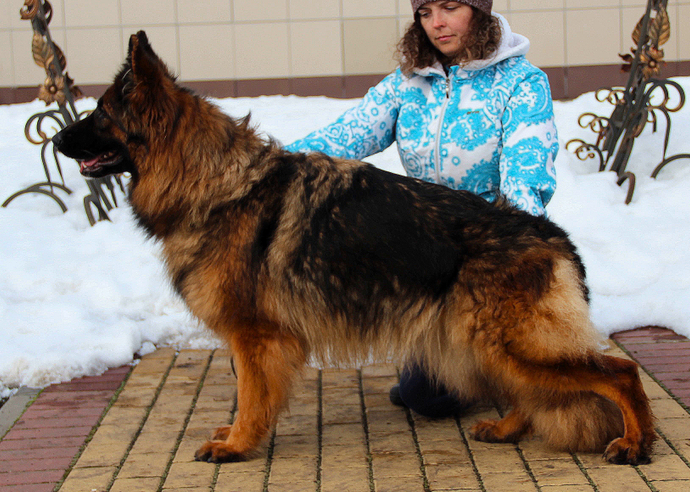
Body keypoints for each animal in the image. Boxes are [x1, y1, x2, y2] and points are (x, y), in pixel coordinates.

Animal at [52, 30, 652, 466]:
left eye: (100, 115)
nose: (55, 139)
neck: (214, 182)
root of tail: (552, 235)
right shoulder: (254, 337)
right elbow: (248, 391)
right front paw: (238, 435)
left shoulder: (254, 335)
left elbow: (252, 395)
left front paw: (239, 445)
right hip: (481, 344)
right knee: (533, 391)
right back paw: (507, 428)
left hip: (509, 345)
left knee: (620, 374)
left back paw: (634, 443)